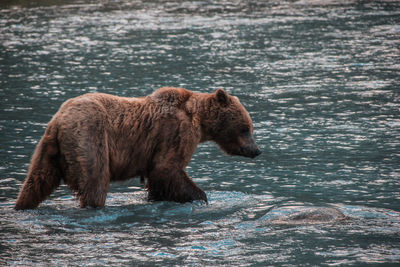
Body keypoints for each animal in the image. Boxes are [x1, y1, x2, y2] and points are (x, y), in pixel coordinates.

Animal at [14, 87, 260, 210]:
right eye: (246, 128)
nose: (256, 150)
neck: (199, 120)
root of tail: (59, 120)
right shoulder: (175, 133)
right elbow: (168, 168)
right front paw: (201, 197)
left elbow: (160, 180)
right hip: (90, 137)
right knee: (95, 181)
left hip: (49, 149)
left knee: (36, 182)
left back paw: (21, 206)